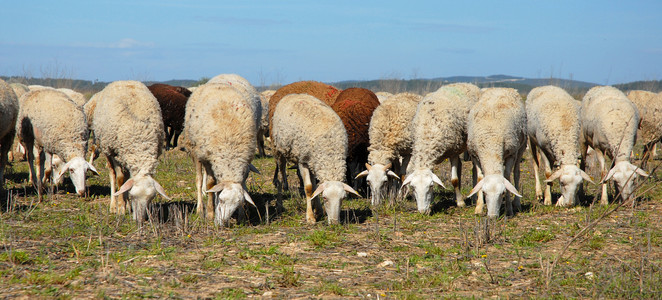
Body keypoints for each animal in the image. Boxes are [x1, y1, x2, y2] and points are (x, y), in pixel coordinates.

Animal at [93, 81, 171, 221]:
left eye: (151, 198)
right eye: (133, 195)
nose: (140, 219)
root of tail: (124, 81)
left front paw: (127, 205)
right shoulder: (116, 152)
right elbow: (120, 179)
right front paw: (120, 208)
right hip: (107, 147)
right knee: (113, 175)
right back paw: (113, 204)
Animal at [187, 83, 262, 226]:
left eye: (236, 206)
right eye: (221, 200)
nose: (221, 224)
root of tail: (215, 84)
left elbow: (242, 185)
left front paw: (242, 216)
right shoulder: (208, 158)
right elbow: (210, 184)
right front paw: (210, 213)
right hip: (196, 150)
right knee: (199, 179)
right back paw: (200, 209)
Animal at [272, 93, 360, 223]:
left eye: (343, 198)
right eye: (325, 198)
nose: (334, 223)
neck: (330, 151)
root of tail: (294, 94)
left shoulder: (314, 160)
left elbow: (314, 188)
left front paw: (318, 211)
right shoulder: (302, 161)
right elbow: (308, 188)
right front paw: (310, 217)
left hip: (314, 161)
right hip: (280, 149)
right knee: (281, 172)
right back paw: (280, 201)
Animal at [400, 82, 482, 213]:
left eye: (430, 186)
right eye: (413, 188)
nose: (422, 212)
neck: (427, 133)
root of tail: (466, 83)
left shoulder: (453, 151)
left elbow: (454, 180)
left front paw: (461, 203)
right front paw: (432, 203)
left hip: (468, 144)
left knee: (474, 169)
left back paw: (473, 198)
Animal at [466, 88, 528, 217]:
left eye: (503, 193)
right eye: (484, 192)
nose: (492, 217)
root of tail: (500, 88)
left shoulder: (511, 153)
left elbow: (507, 176)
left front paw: (509, 209)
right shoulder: (474, 154)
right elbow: (480, 177)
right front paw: (479, 207)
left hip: (521, 147)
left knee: (516, 173)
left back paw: (517, 203)